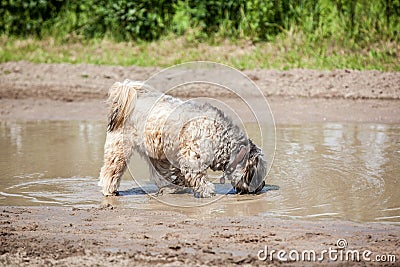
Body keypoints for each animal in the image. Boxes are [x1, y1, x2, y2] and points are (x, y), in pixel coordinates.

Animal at [97, 79, 266, 199]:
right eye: (259, 173)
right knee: (111, 170)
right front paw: (207, 191)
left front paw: (182, 182)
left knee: (158, 173)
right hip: (119, 149)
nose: (263, 185)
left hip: (156, 152)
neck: (221, 138)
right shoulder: (192, 157)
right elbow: (197, 176)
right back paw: (110, 190)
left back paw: (170, 187)